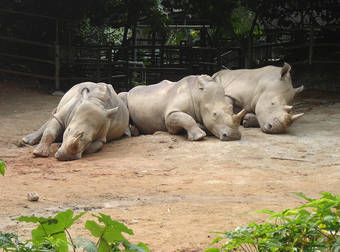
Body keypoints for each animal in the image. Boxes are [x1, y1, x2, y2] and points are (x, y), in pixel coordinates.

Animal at [118, 75, 246, 142]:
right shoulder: (170, 115)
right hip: (127, 94)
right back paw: (130, 134)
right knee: (122, 96)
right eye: (214, 114)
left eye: (231, 108)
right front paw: (199, 136)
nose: (234, 136)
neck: (198, 95)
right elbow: (186, 119)